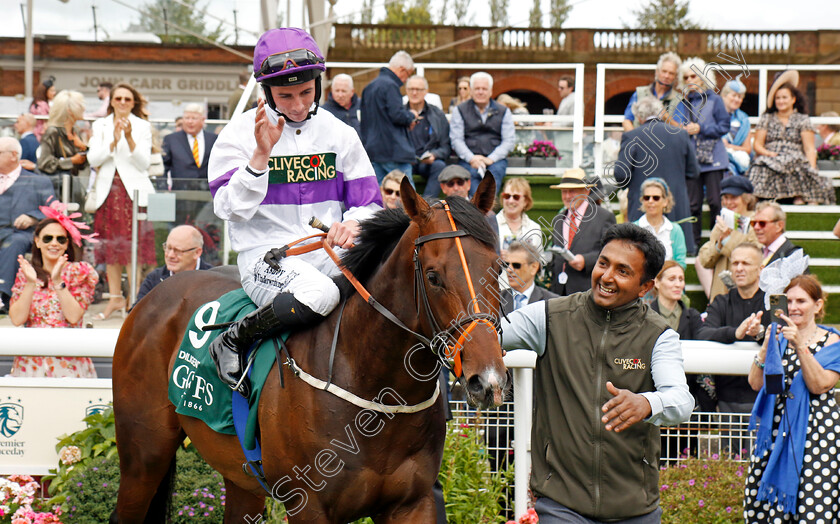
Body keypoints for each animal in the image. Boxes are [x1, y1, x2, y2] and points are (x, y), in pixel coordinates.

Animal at [109, 177, 508, 524]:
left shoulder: (413, 503)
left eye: (499, 267)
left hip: (240, 477)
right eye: (433, 276)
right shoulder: (309, 505)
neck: (375, 392)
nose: (486, 380)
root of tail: (154, 295)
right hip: (144, 456)